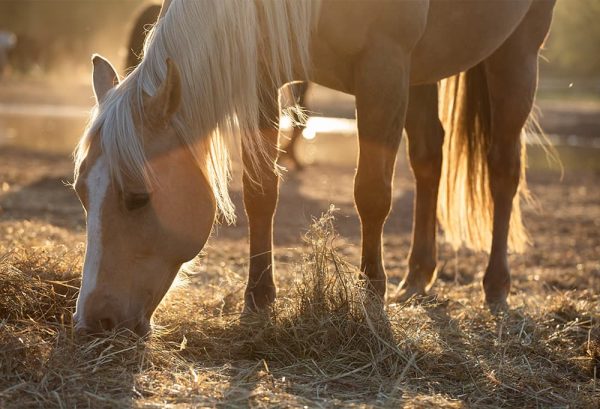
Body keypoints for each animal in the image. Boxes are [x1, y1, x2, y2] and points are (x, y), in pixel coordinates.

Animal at [72, 0, 556, 334]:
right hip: (425, 67)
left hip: (516, 50)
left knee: (503, 167)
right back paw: (418, 276)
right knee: (427, 157)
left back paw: (495, 285)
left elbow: (371, 192)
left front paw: (371, 294)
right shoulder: (263, 74)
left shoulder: (383, 67)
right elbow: (260, 190)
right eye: (81, 193)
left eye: (137, 198)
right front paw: (259, 297)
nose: (92, 321)